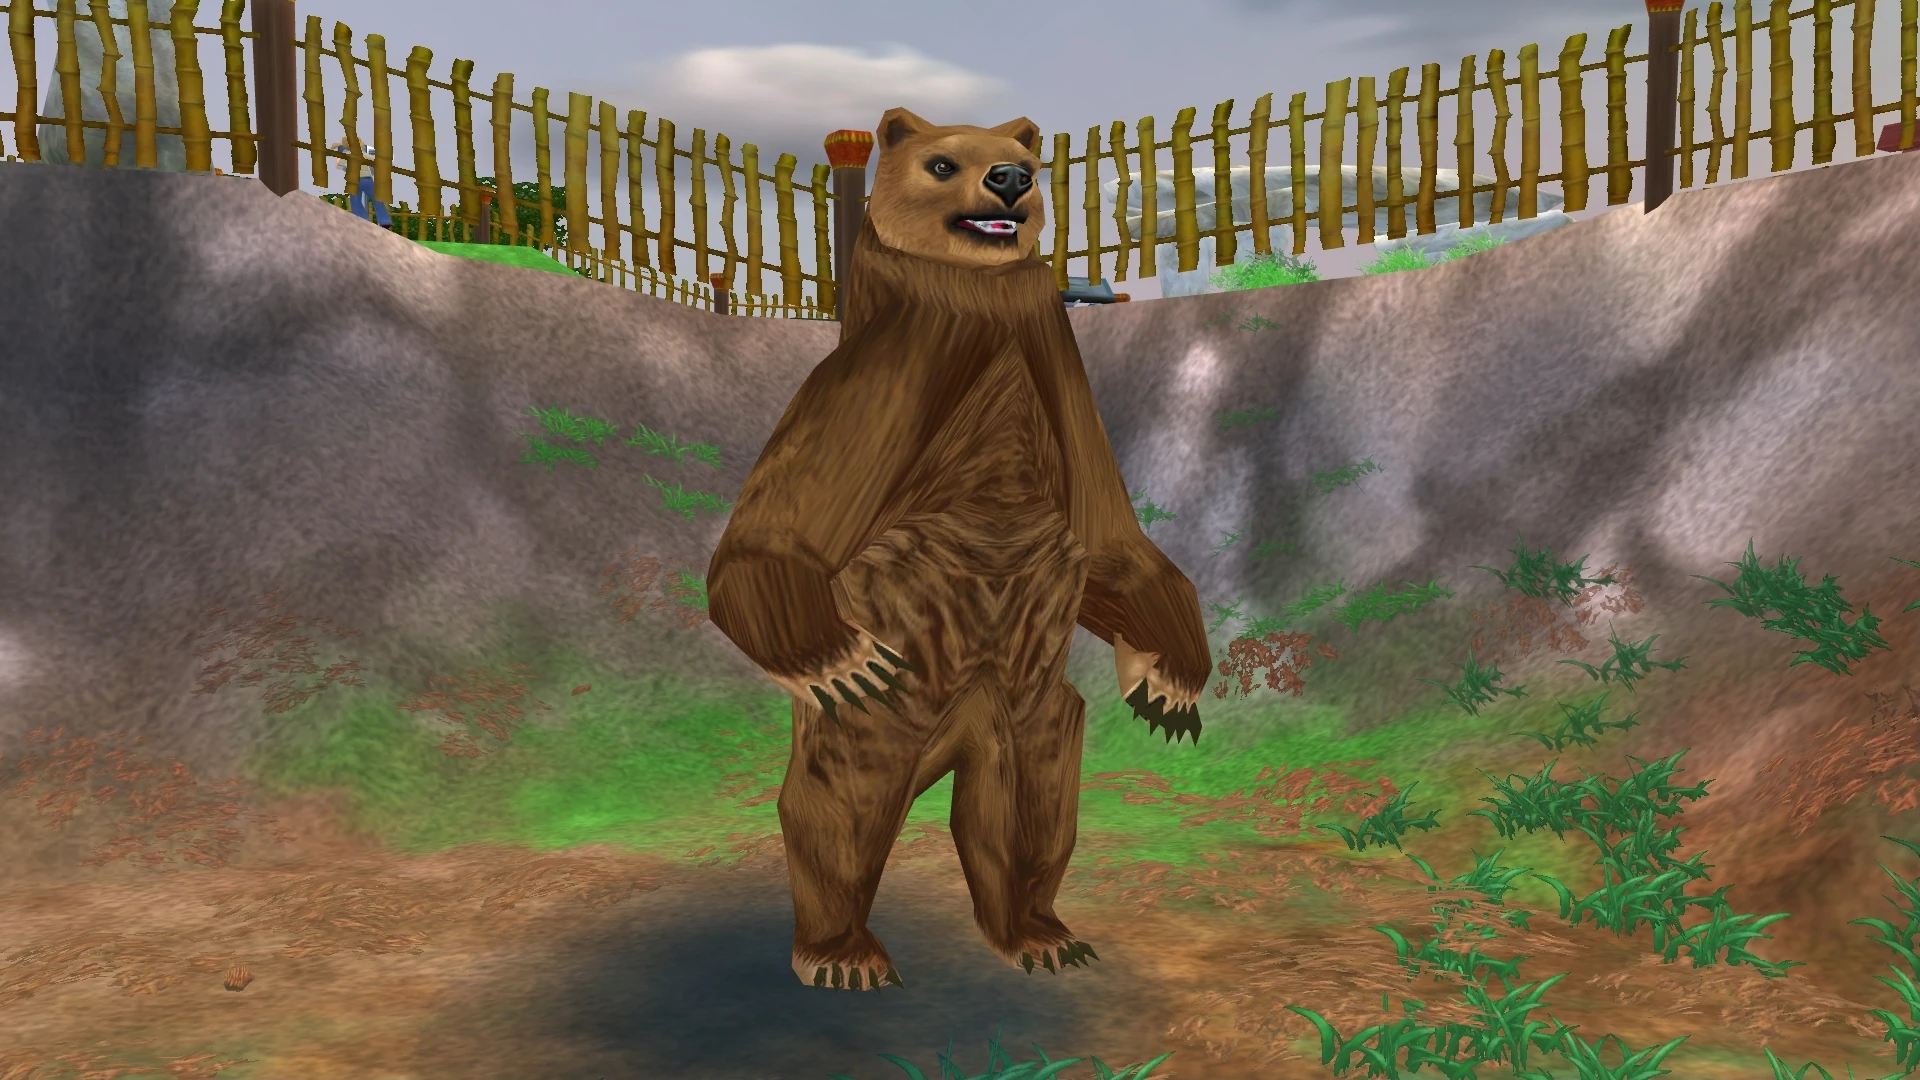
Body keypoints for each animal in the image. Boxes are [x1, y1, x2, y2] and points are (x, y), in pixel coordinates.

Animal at [704, 107, 1213, 991]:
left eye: (1021, 161)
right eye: (943, 163)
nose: (1009, 180)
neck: (984, 299)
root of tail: (946, 743)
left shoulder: (1056, 374)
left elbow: (1112, 546)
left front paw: (1169, 683)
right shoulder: (897, 367)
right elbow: (775, 533)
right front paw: (839, 656)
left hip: (1025, 711)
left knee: (1029, 805)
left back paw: (1043, 935)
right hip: (886, 715)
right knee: (844, 803)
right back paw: (843, 954)